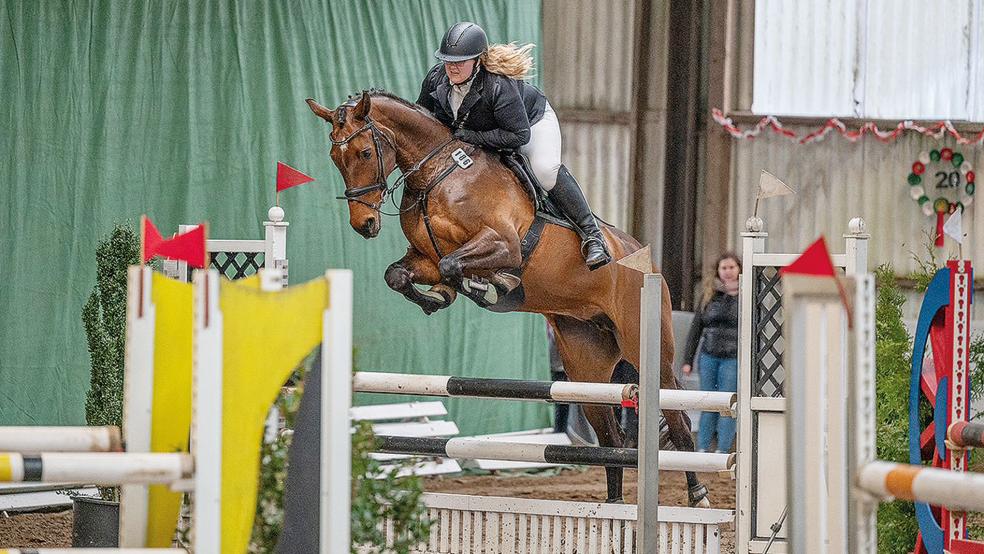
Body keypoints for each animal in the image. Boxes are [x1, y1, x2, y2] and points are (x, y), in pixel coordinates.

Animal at [306, 89, 708, 504]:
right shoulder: (424, 258)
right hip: (586, 363)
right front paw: (439, 297)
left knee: (677, 421)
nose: (364, 224)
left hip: (648, 350)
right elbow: (401, 273)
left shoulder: (503, 244)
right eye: (335, 157)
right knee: (610, 436)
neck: (437, 174)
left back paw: (698, 496)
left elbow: (457, 263)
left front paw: (490, 286)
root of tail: (645, 261)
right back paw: (615, 508)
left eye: (365, 153)